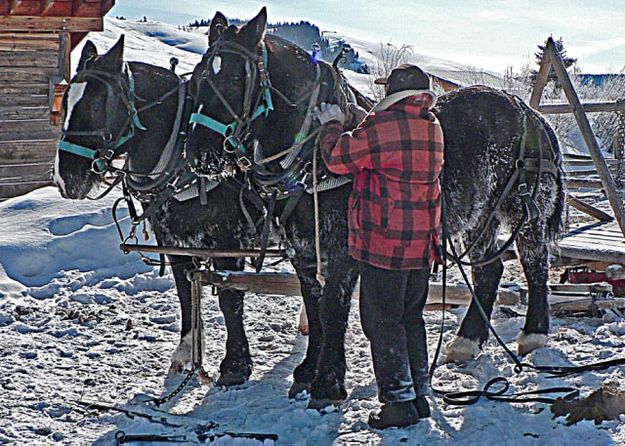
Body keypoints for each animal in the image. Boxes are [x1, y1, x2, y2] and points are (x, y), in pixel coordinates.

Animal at [183, 6, 564, 406]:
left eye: (236, 78)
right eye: (198, 79)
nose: (200, 155)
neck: (311, 156)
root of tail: (529, 112)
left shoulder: (342, 250)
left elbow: (332, 310)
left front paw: (327, 384)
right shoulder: (304, 249)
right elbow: (314, 307)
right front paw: (308, 371)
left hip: (525, 208)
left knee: (535, 263)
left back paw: (533, 334)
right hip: (480, 217)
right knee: (487, 270)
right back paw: (467, 341)